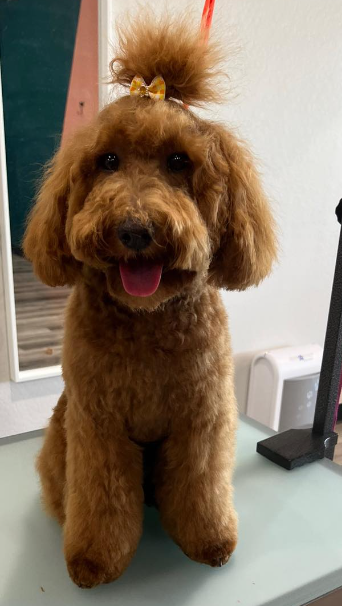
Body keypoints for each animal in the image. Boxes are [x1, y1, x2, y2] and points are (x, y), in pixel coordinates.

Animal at [23, 13, 276, 588]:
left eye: (179, 161)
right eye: (107, 161)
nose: (135, 230)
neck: (148, 319)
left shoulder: (202, 416)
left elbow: (201, 484)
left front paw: (209, 541)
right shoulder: (97, 423)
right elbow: (101, 497)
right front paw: (93, 560)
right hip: (60, 434)